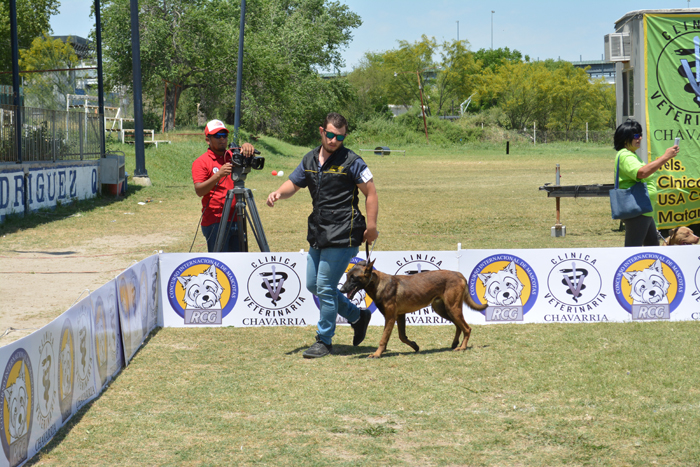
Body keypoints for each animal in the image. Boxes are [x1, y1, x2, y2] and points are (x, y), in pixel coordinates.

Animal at [340, 260, 487, 358]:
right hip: (443, 309)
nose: (341, 290)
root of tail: (458, 274)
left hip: (452, 308)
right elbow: (402, 336)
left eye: (354, 278)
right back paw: (455, 343)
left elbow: (384, 338)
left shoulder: (390, 317)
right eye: (347, 276)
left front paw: (377, 354)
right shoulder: (400, 316)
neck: (378, 283)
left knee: (467, 328)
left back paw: (462, 347)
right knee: (459, 326)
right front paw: (415, 346)